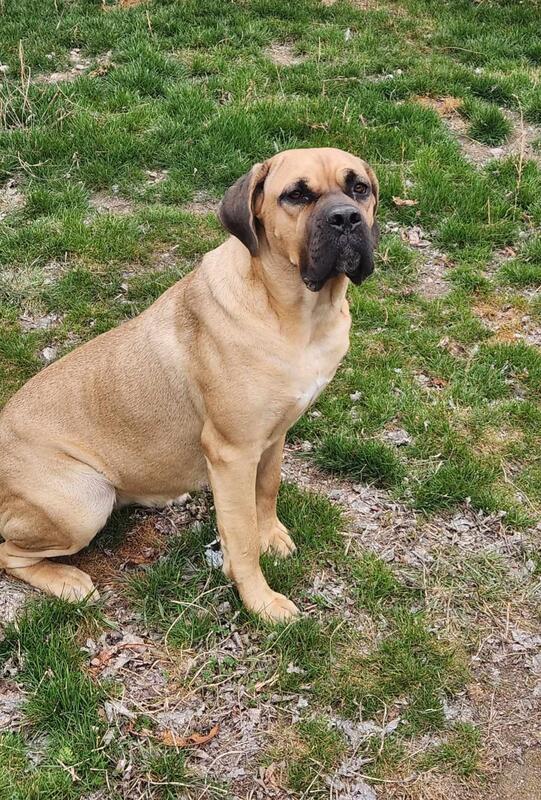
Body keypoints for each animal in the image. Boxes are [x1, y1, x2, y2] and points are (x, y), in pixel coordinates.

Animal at [0, 147, 378, 622]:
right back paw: (68, 581)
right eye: (297, 195)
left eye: (359, 188)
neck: (295, 313)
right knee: (8, 552)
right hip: (83, 500)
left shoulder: (274, 434)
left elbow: (267, 489)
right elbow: (241, 535)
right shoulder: (232, 452)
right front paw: (260, 600)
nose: (346, 219)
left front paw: (271, 534)